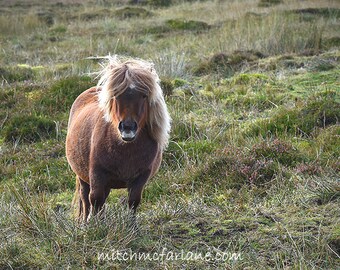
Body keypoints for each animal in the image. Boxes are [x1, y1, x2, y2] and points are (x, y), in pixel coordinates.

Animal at [65, 55, 171, 221]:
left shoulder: (141, 177)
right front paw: (94, 225)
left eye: (144, 95)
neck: (125, 150)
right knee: (85, 198)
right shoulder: (97, 175)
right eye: (115, 95)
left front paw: (131, 225)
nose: (127, 127)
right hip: (83, 176)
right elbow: (95, 199)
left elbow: (133, 201)